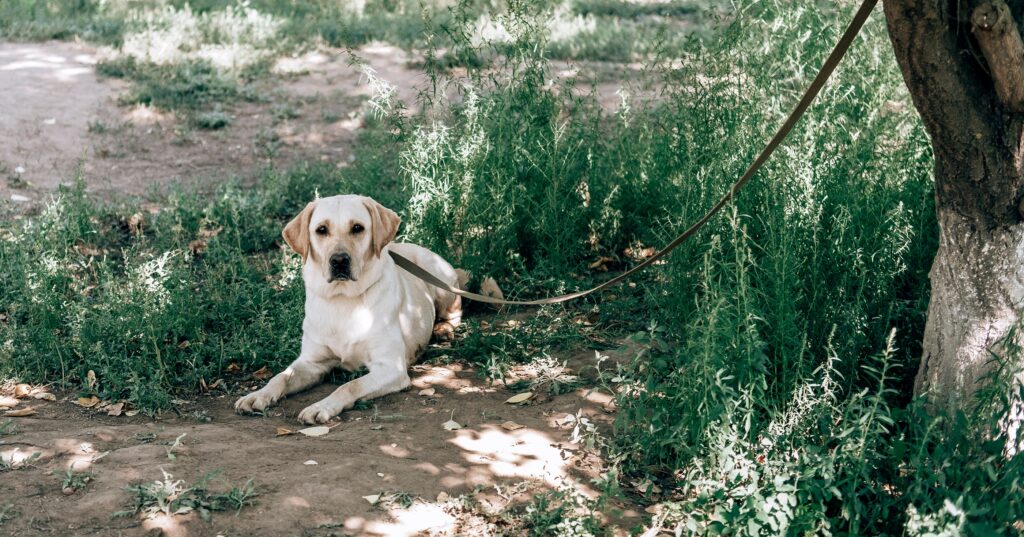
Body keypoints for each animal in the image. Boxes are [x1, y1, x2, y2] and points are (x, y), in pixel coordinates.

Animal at [235, 195, 460, 424]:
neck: (343, 299)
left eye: (357, 228)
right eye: (321, 229)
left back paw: (443, 329)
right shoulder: (311, 362)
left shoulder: (391, 368)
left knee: (454, 311)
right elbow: (280, 377)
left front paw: (321, 407)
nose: (339, 260)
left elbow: (350, 385)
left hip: (438, 279)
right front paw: (258, 395)